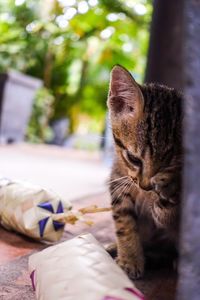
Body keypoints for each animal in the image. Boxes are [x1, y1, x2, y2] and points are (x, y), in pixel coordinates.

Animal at [107, 65, 182, 278]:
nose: (146, 186)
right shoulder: (119, 179)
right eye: (133, 159)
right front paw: (130, 259)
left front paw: (167, 196)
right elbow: (124, 222)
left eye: (169, 165)